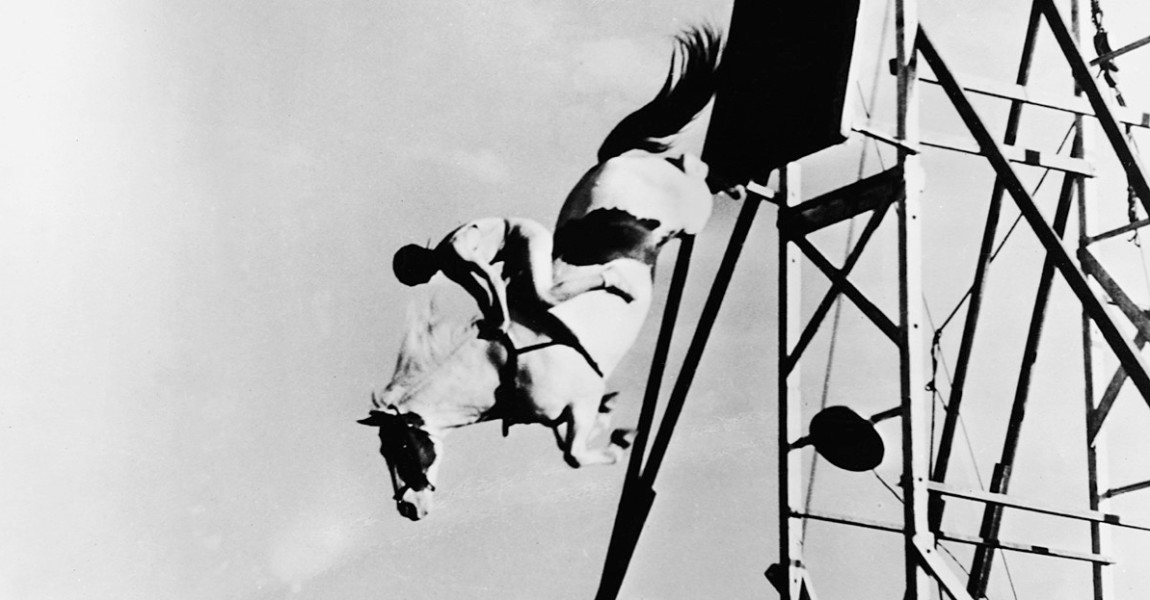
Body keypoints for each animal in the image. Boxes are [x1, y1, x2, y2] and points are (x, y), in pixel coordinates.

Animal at [356, 24, 726, 517]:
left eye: (399, 447)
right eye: (384, 451)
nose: (409, 508)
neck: (500, 371)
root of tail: (610, 158)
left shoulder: (580, 400)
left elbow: (576, 456)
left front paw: (620, 442)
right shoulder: (562, 417)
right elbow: (570, 448)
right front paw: (617, 427)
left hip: (689, 216)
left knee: (693, 171)